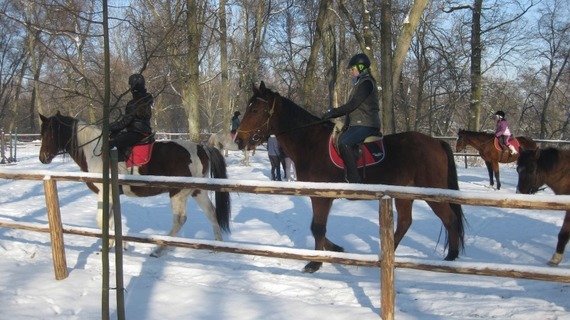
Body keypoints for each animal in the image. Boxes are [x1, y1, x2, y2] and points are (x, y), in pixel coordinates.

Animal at [38, 111, 231, 256]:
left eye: (48, 133)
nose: (42, 158)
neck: (95, 152)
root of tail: (200, 147)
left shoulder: (104, 192)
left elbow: (101, 221)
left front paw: (112, 246)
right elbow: (110, 220)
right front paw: (117, 245)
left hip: (177, 192)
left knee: (179, 220)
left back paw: (160, 249)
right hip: (197, 190)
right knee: (211, 213)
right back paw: (217, 247)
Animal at [233, 82, 464, 272]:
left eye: (255, 110)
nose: (239, 140)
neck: (310, 142)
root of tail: (436, 142)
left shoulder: (321, 196)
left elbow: (317, 228)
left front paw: (315, 263)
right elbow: (317, 228)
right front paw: (335, 248)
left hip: (432, 193)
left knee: (449, 219)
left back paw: (451, 258)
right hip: (404, 194)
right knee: (406, 222)